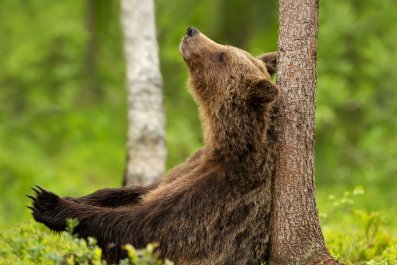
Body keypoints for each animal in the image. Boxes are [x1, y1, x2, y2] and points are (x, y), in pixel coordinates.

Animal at [29, 27, 278, 264]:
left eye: (222, 55)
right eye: (225, 48)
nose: (191, 31)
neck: (222, 144)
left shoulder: (214, 200)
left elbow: (139, 228)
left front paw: (48, 203)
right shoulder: (186, 168)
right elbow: (140, 190)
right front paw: (74, 197)